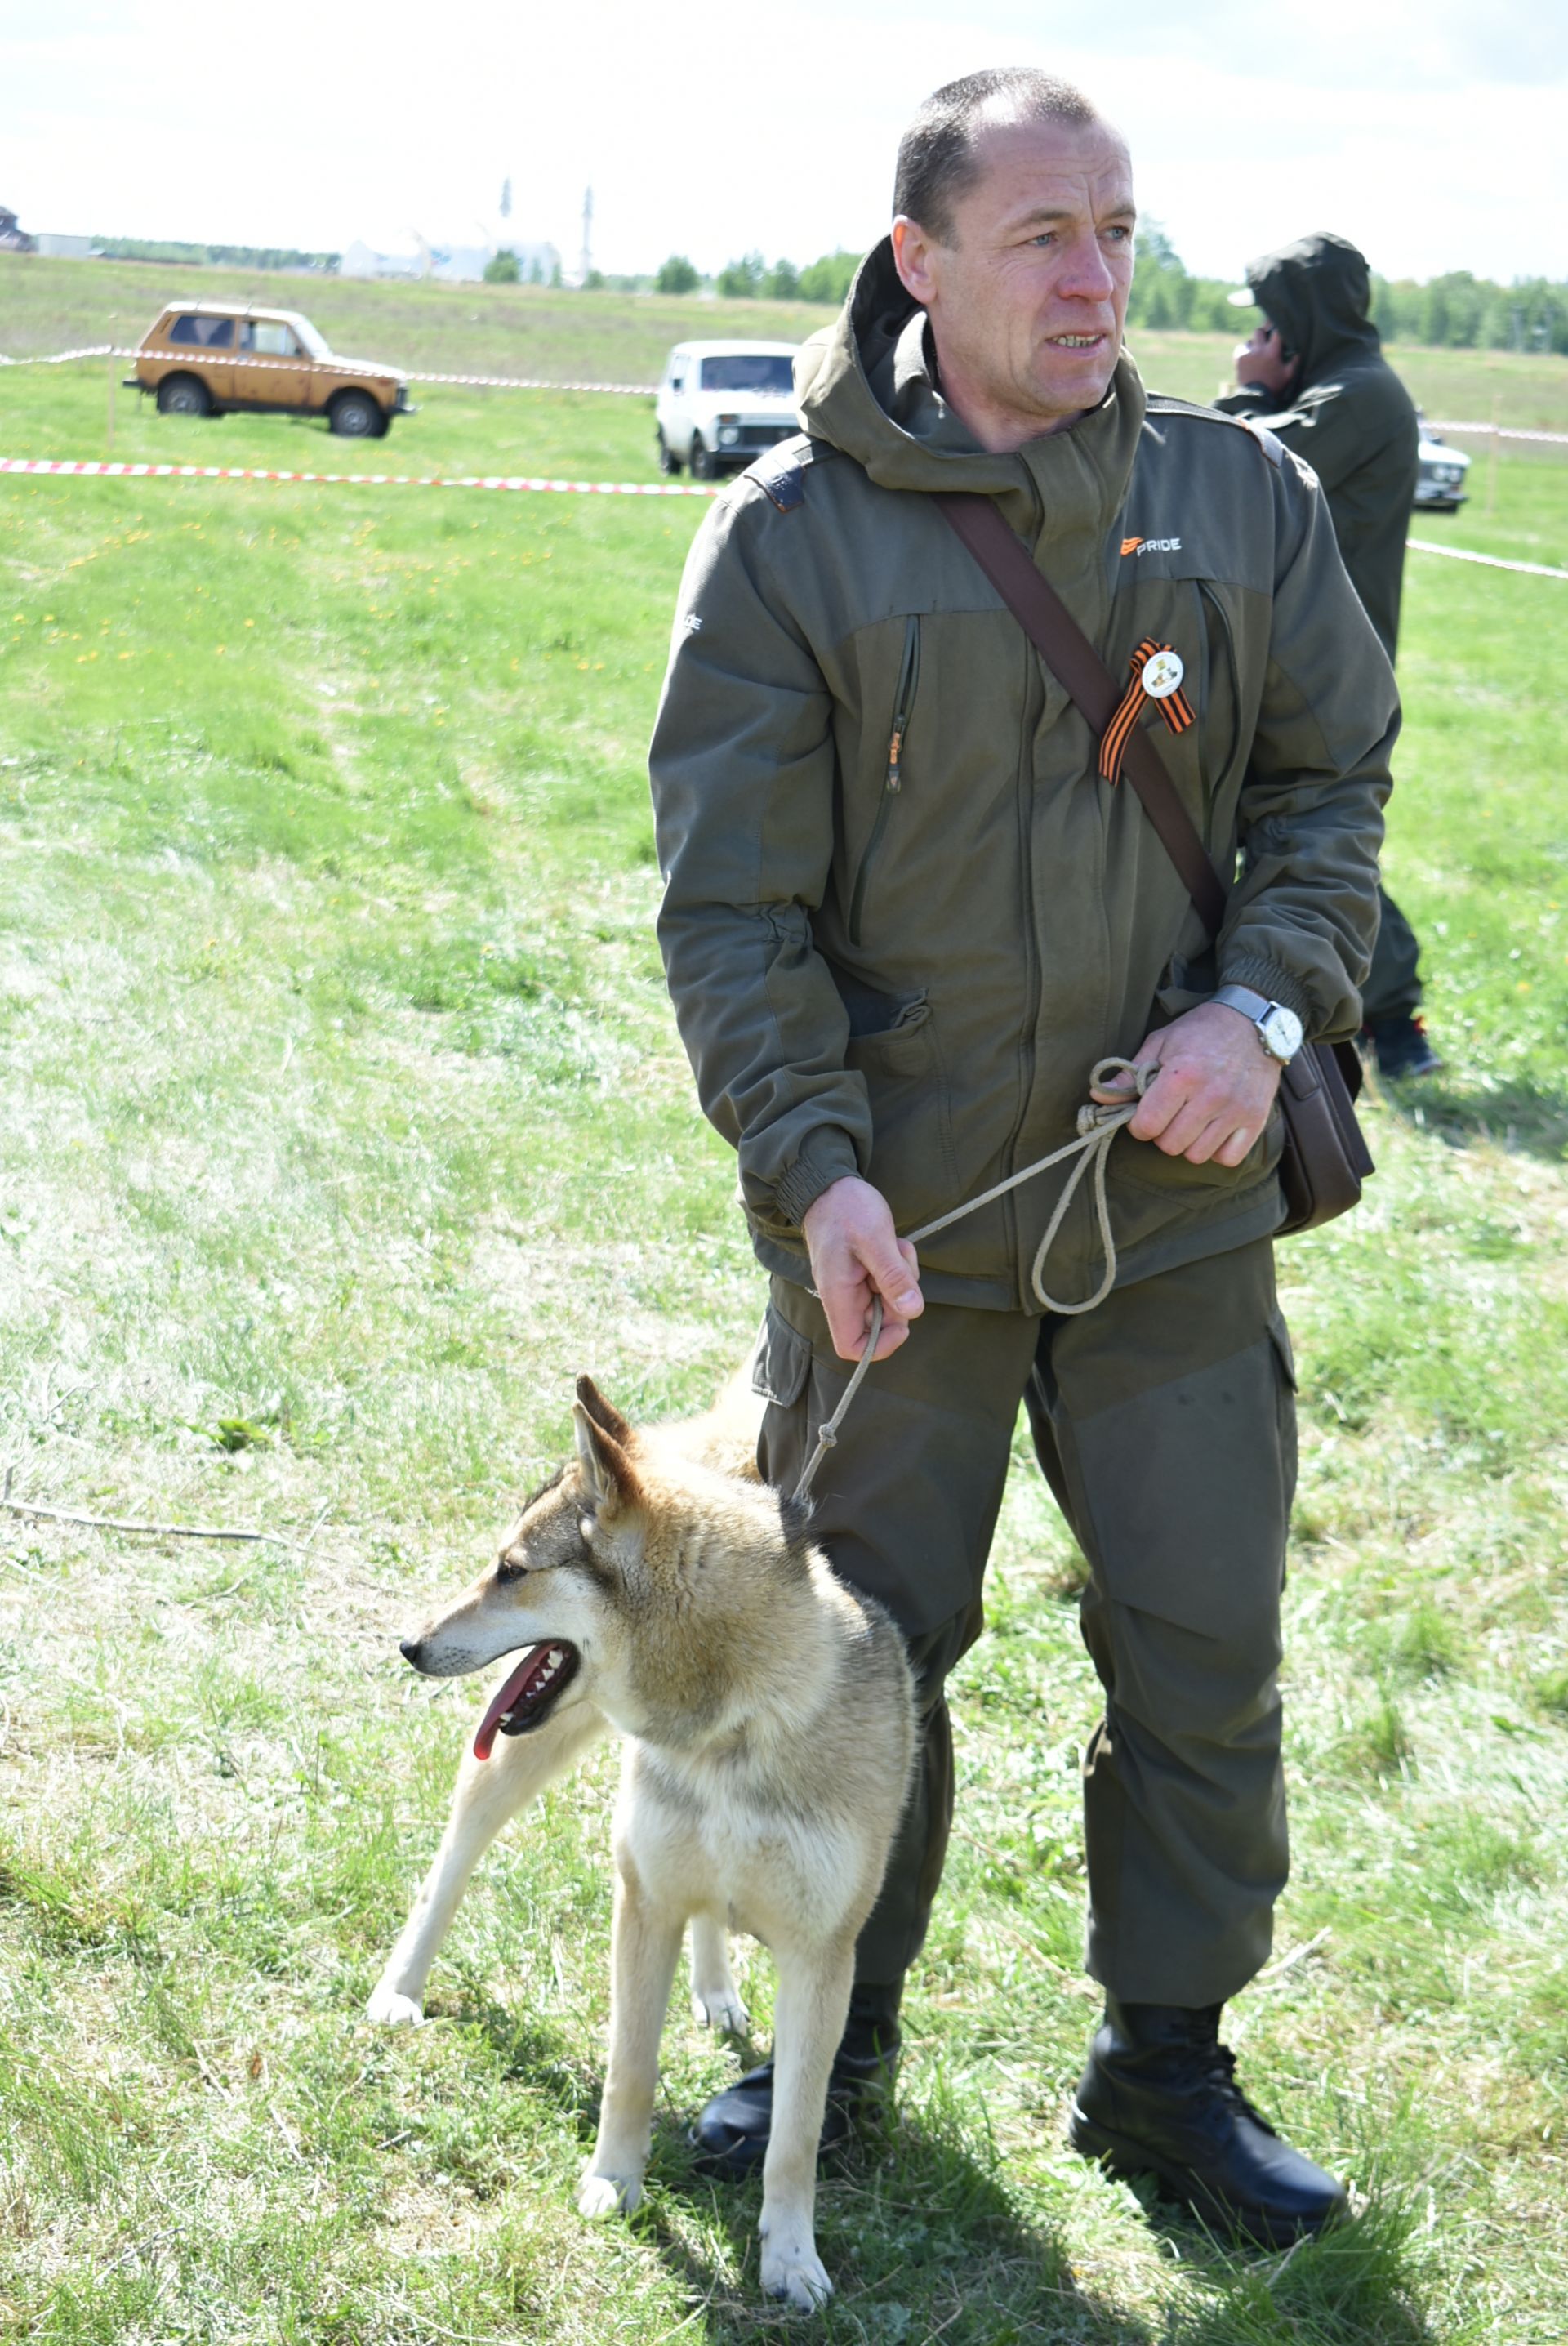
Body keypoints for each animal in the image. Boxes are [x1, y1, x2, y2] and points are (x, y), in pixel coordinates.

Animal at [368, 1370, 919, 2308]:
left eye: (511, 1571)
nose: (410, 1644)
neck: (733, 1728)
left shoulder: (824, 1955)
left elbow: (797, 2134)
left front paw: (790, 2259)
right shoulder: (643, 1900)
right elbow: (629, 2069)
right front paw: (613, 2184)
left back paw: (718, 1991)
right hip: (514, 1767)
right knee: (452, 1862)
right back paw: (401, 1988)